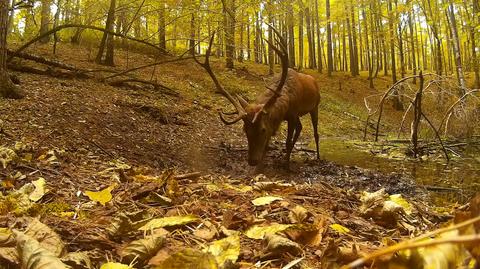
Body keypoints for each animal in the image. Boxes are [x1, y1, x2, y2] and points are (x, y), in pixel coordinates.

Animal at [193, 26, 320, 170]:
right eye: (245, 130)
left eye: (262, 129)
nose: (252, 161)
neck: (285, 106)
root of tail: (314, 81)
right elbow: (269, 143)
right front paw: (261, 165)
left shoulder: (292, 115)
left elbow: (287, 141)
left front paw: (286, 165)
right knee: (300, 128)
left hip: (315, 107)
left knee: (315, 133)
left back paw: (318, 157)